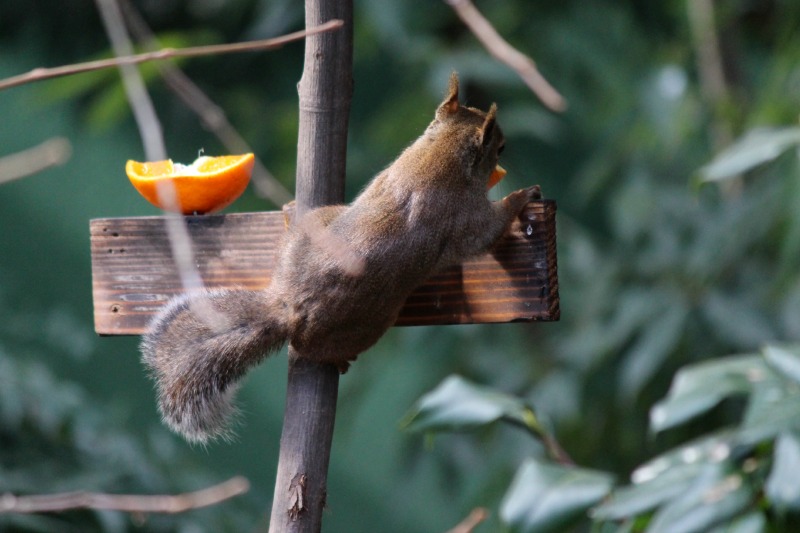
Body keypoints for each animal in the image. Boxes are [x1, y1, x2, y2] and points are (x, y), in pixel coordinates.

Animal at [142, 72, 544, 442]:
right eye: (500, 147)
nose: (505, 153)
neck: (439, 154)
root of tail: (289, 306)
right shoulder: (464, 219)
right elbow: (486, 233)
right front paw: (522, 196)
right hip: (370, 322)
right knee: (311, 347)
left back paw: (290, 213)